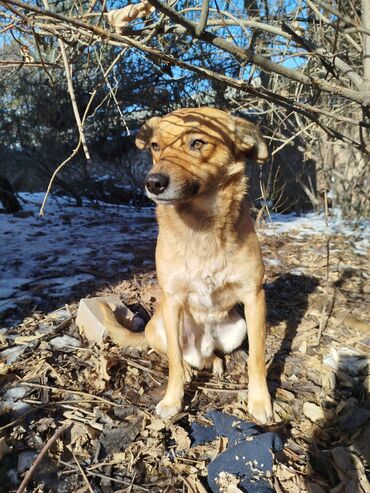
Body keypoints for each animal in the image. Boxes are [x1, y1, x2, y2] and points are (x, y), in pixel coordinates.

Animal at [102, 107, 274, 422]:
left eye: (197, 142)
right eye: (155, 146)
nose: (153, 183)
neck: (202, 226)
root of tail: (204, 341)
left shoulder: (254, 297)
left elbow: (257, 358)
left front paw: (259, 401)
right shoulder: (172, 301)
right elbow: (173, 361)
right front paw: (173, 399)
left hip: (238, 328)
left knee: (211, 355)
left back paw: (216, 363)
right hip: (159, 328)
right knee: (179, 357)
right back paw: (189, 369)